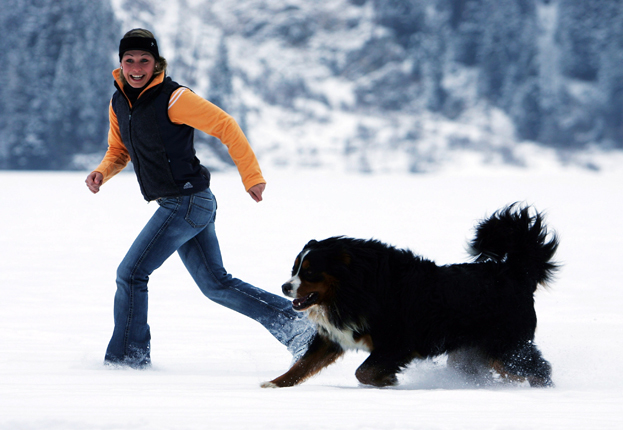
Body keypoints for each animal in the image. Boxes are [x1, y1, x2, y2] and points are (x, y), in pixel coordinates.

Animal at [262, 203, 560, 388]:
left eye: (310, 272)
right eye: (294, 268)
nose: (285, 287)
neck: (355, 289)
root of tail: (515, 272)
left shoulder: (397, 342)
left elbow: (364, 371)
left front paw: (386, 381)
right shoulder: (332, 338)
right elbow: (302, 365)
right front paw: (274, 384)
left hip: (504, 347)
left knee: (538, 369)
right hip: (474, 353)